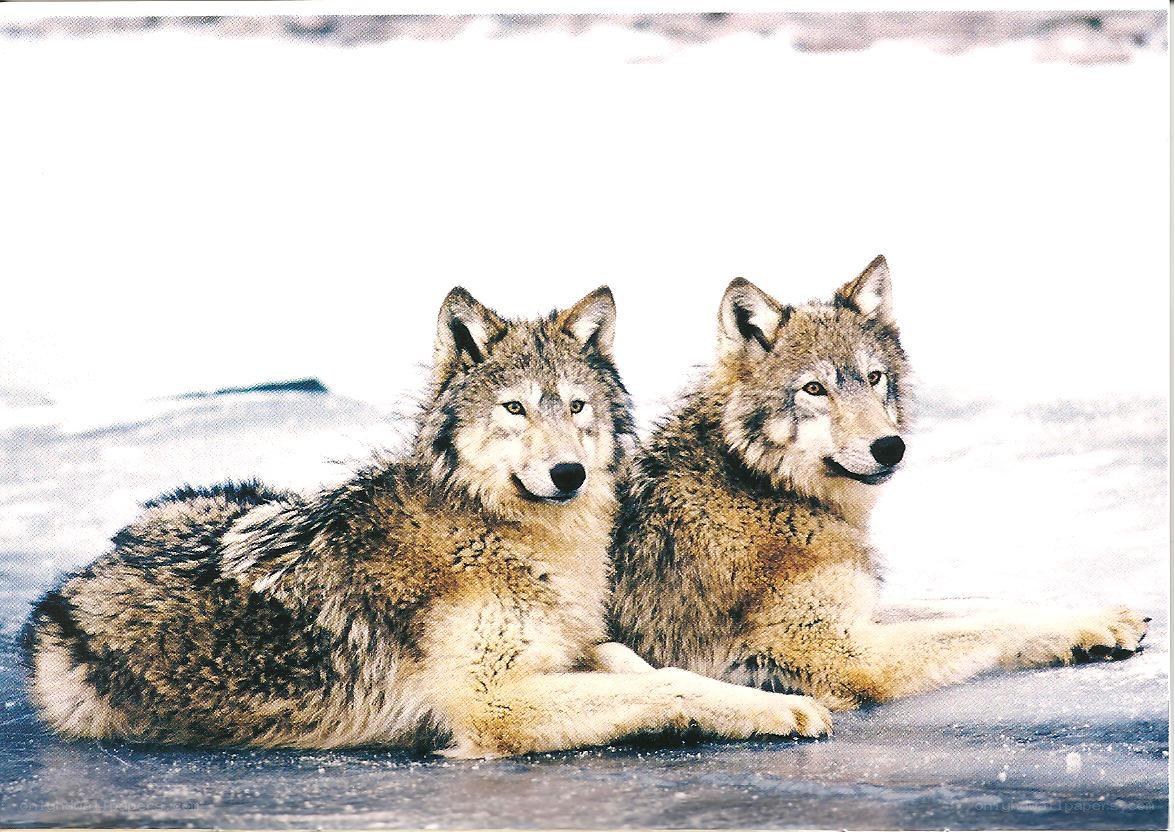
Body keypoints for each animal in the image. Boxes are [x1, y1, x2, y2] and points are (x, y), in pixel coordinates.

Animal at [23, 286, 831, 757]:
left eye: (575, 406)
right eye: (514, 408)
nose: (568, 473)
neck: (498, 534)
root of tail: (84, 568)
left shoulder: (571, 646)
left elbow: (649, 666)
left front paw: (779, 704)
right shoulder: (493, 702)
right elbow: (663, 689)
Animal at [611, 256, 1148, 710]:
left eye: (874, 377)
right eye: (814, 389)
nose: (891, 447)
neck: (762, 486)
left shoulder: (861, 612)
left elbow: (978, 604)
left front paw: (1096, 617)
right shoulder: (844, 652)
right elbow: (990, 624)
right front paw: (1087, 623)